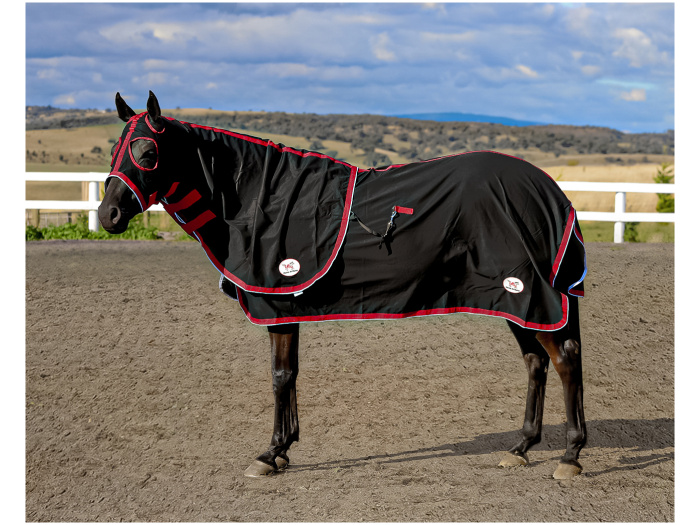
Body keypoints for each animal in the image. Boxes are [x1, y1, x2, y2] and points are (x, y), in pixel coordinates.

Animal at [98, 91, 588, 480]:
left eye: (147, 152)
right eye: (116, 150)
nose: (108, 216)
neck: (260, 198)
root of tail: (549, 191)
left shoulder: (276, 302)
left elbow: (280, 376)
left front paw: (270, 454)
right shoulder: (285, 306)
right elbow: (289, 373)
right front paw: (284, 449)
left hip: (528, 294)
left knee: (562, 360)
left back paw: (570, 455)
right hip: (513, 300)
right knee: (536, 363)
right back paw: (522, 447)